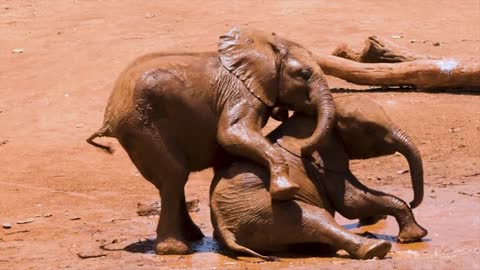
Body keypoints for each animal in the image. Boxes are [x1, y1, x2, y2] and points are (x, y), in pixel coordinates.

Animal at [86, 26, 336, 254]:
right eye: (304, 74)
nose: (304, 149)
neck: (266, 46)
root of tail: (110, 114)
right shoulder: (240, 93)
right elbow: (231, 134)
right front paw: (286, 191)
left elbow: (226, 151)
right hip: (142, 125)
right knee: (174, 175)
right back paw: (176, 249)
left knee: (171, 177)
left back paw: (193, 237)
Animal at [210, 96, 428, 260]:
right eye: (370, 130)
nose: (412, 201)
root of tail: (225, 231)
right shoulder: (325, 162)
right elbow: (351, 203)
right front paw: (414, 237)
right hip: (258, 208)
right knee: (315, 218)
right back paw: (376, 248)